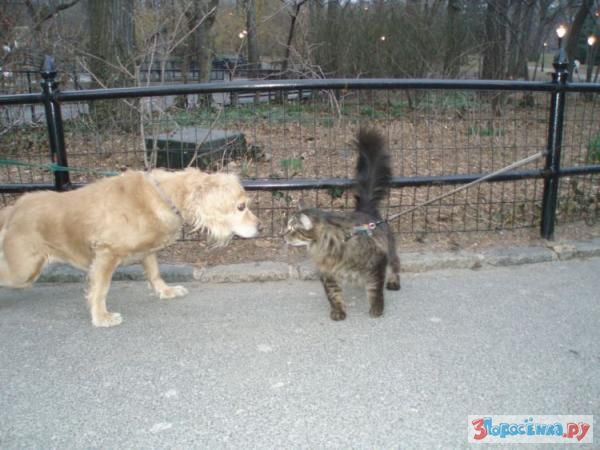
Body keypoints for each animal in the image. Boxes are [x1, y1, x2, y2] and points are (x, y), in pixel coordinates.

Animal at [0, 168, 260, 327]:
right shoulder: (106, 253)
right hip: (24, 269)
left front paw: (166, 291)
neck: (164, 197)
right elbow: (101, 289)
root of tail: (14, 208)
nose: (260, 226)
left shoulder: (148, 250)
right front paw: (101, 316)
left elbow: (155, 273)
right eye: (240, 207)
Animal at [284, 129, 401, 320]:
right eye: (287, 227)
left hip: (389, 250)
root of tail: (365, 209)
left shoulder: (377, 260)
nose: (283, 236)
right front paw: (338, 311)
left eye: (293, 229)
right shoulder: (327, 273)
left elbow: (376, 289)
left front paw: (377, 308)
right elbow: (334, 294)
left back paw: (393, 281)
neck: (326, 246)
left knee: (395, 263)